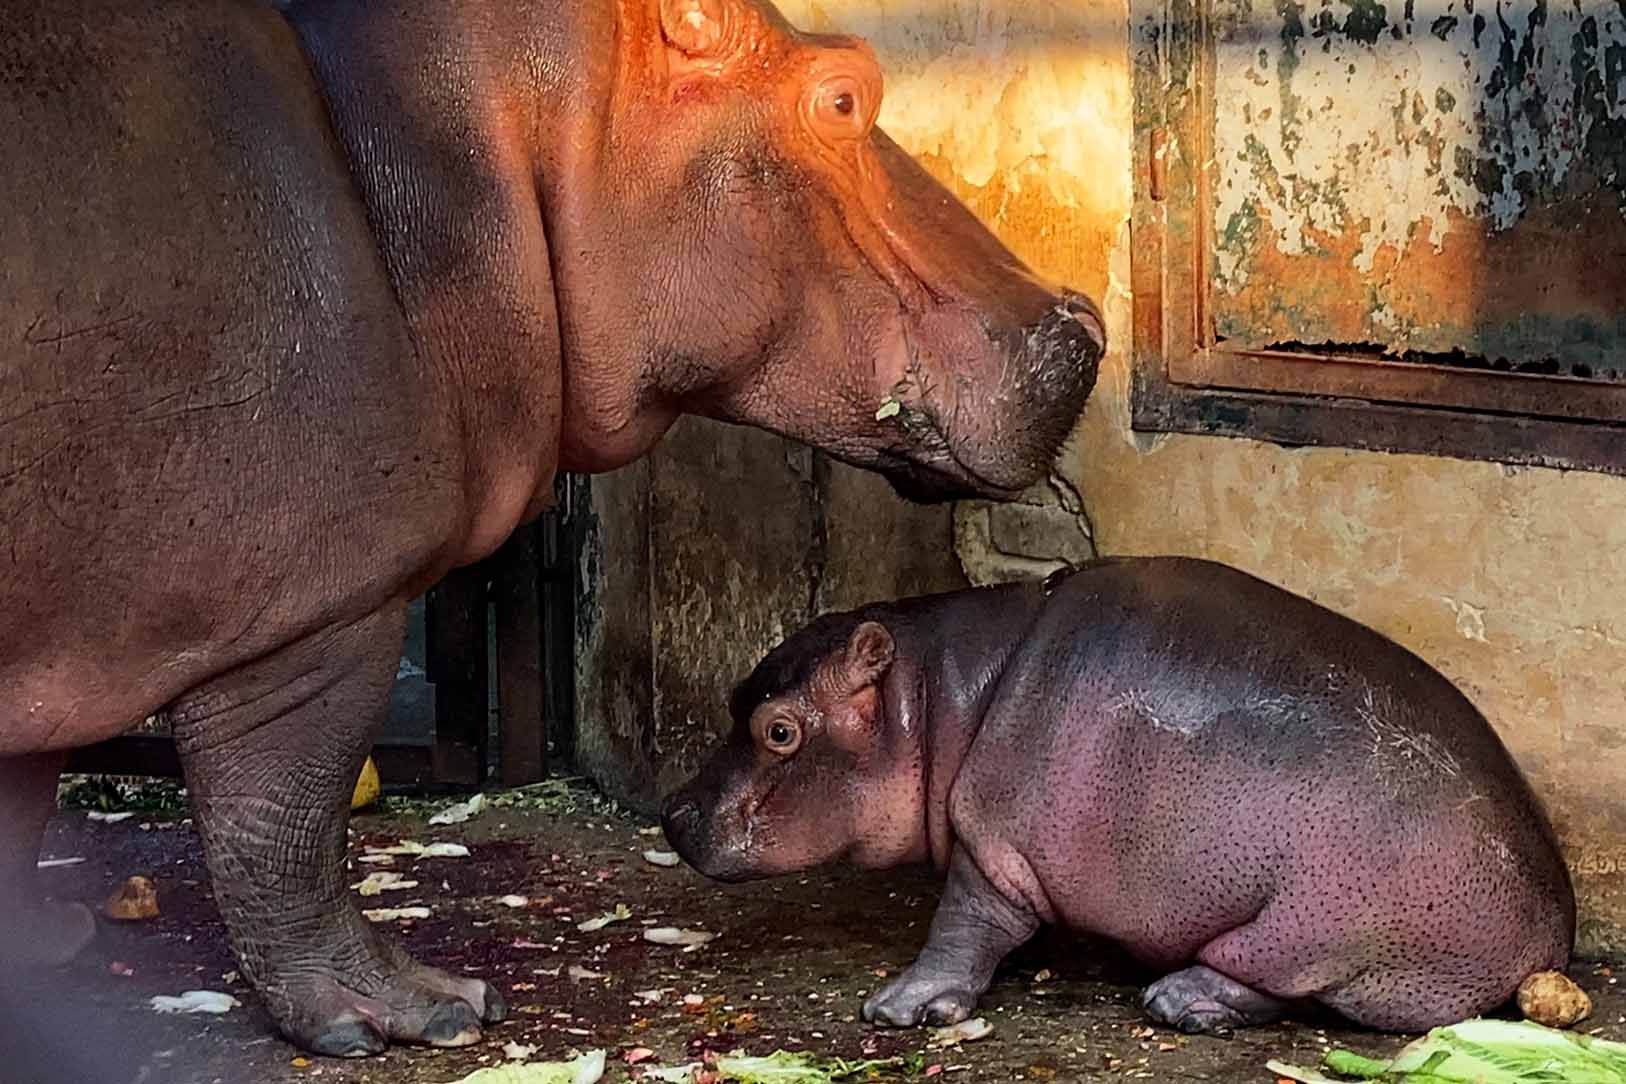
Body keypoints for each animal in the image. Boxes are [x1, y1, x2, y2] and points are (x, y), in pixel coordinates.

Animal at [0, 0, 1105, 1058]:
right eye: (844, 92)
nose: (1087, 323)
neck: (479, 116)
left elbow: (23, 795)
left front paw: (45, 948)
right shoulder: (320, 612)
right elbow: (286, 826)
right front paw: (421, 1014)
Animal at [662, 557, 1576, 1035]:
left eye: (781, 730)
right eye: (738, 695)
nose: (672, 813)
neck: (933, 696)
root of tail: (1552, 932)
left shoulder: (993, 847)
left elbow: (962, 927)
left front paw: (898, 1006)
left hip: (1312, 926)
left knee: (1273, 980)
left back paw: (1177, 999)